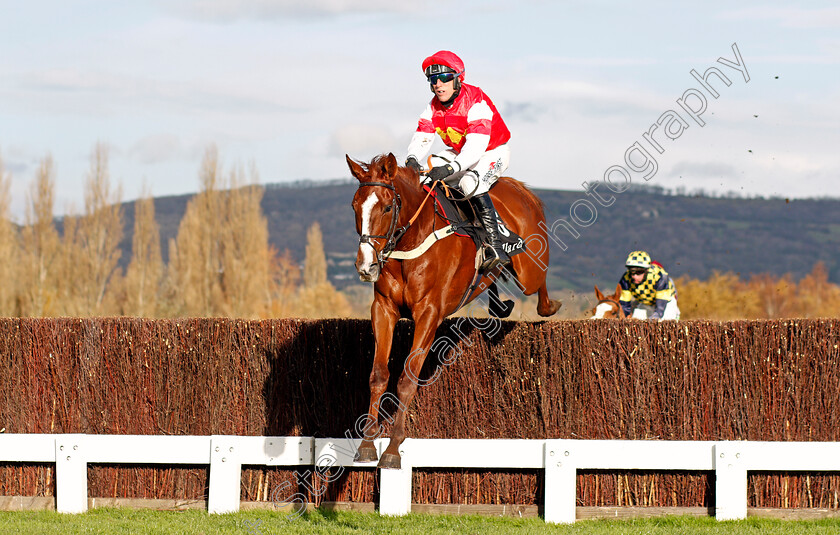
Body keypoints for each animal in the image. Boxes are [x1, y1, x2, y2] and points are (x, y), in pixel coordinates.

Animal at [348, 152, 564, 468]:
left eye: (387, 207)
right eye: (355, 206)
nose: (366, 266)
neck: (410, 243)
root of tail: (517, 186)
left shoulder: (428, 313)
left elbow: (407, 379)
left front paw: (392, 448)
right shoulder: (384, 309)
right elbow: (378, 375)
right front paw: (366, 443)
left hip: (529, 271)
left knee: (540, 282)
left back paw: (548, 305)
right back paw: (500, 303)